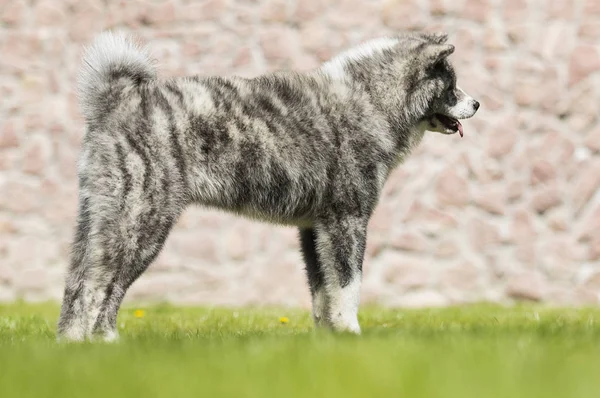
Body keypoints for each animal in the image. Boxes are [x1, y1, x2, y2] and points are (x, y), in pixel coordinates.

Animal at [56, 31, 478, 342]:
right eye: (451, 85)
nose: (476, 103)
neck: (371, 99)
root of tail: (114, 102)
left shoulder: (314, 229)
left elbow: (322, 291)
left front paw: (329, 339)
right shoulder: (348, 220)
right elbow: (348, 283)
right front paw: (351, 333)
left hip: (98, 219)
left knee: (77, 283)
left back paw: (74, 346)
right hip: (141, 223)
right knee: (100, 285)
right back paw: (105, 342)